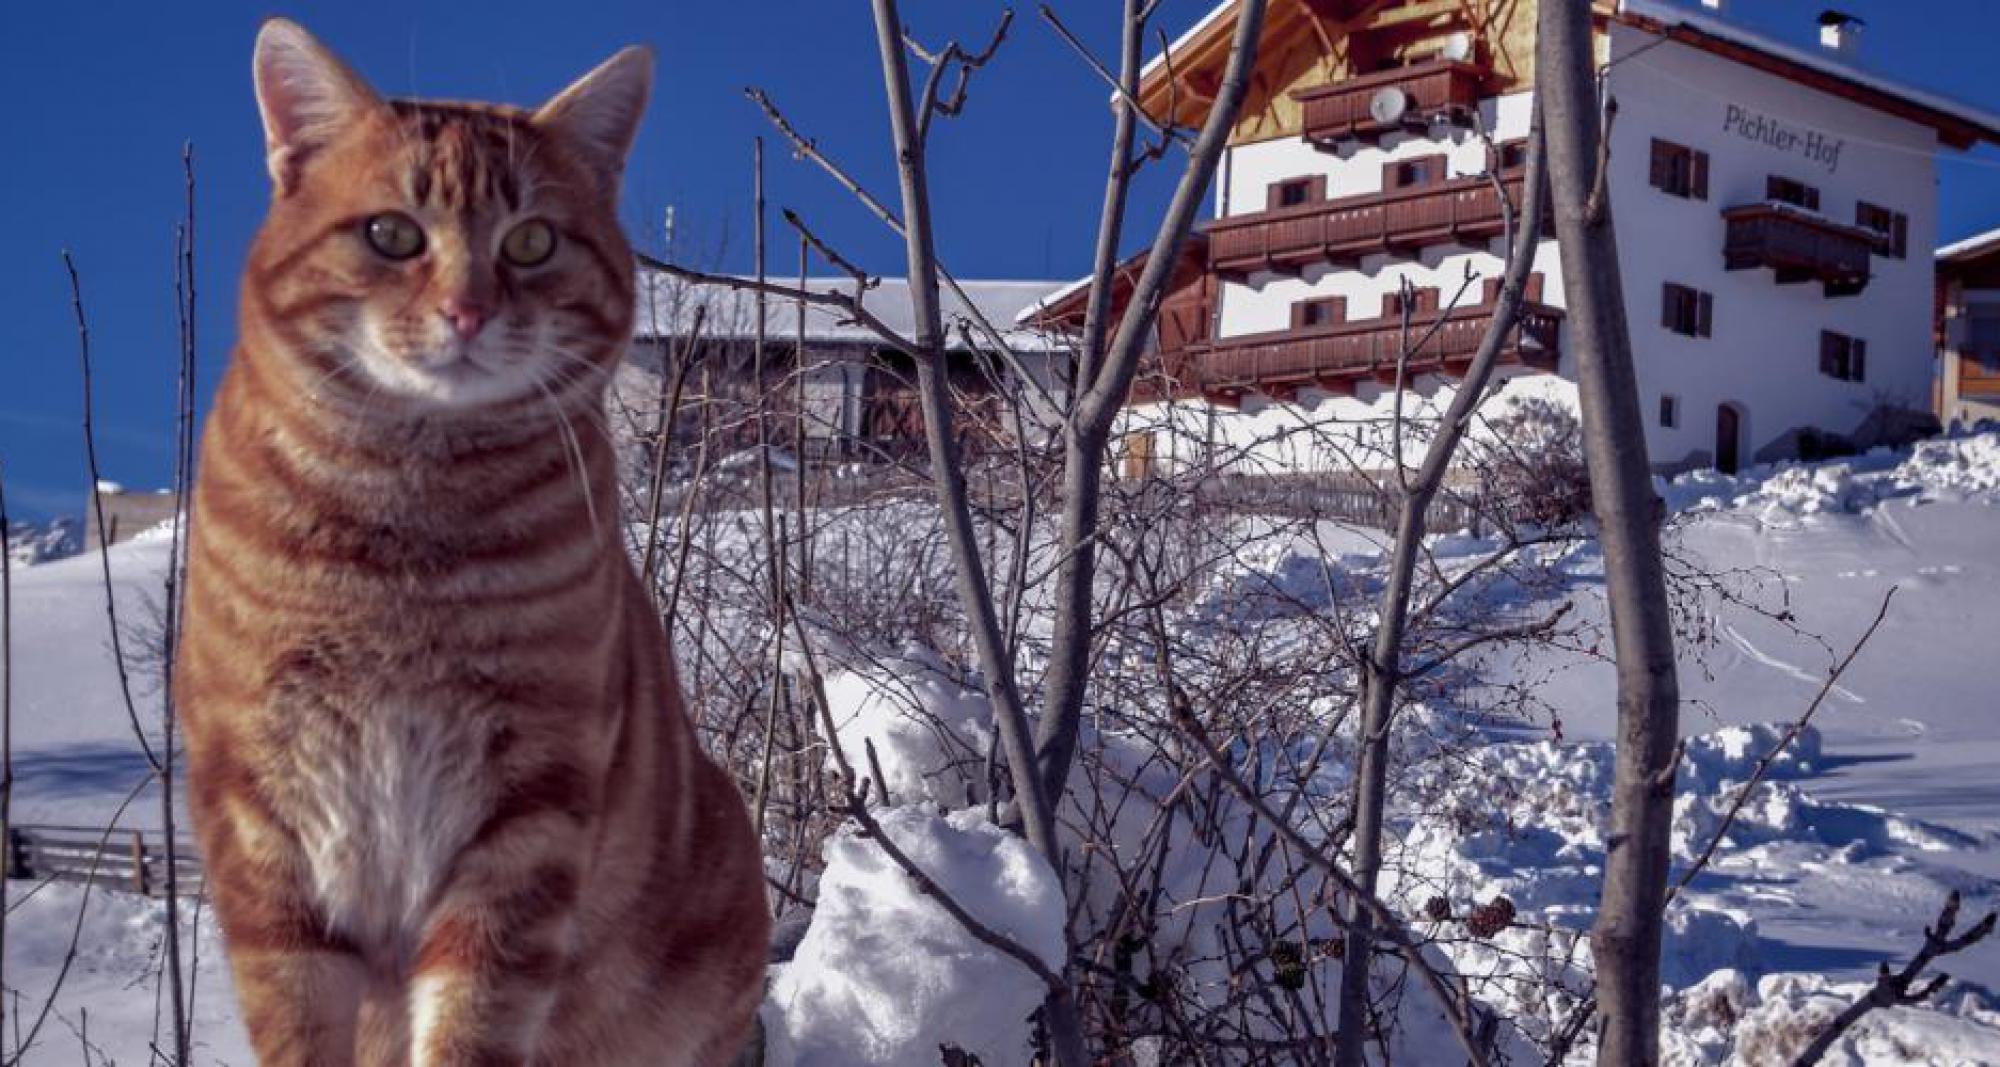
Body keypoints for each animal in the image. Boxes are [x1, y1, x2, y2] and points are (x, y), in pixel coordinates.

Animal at [176, 20, 768, 1063]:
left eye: (531, 242)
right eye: (391, 234)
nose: (467, 311)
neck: (405, 527)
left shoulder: (526, 810)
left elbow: (472, 1016)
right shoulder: (260, 817)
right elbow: (298, 1019)